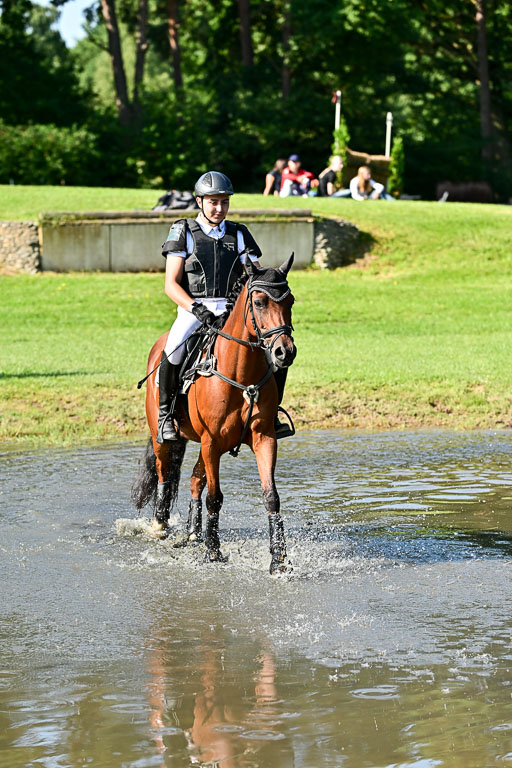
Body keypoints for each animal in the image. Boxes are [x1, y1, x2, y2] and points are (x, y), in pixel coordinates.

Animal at [131, 254, 297, 574]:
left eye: (290, 301)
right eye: (259, 302)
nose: (285, 352)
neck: (242, 375)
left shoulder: (264, 439)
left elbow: (271, 497)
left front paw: (278, 560)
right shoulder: (211, 443)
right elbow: (215, 498)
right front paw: (213, 551)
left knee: (194, 480)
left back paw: (194, 534)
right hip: (164, 439)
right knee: (164, 474)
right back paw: (161, 525)